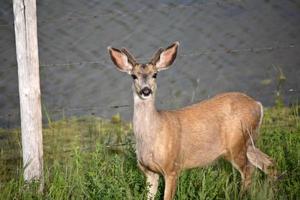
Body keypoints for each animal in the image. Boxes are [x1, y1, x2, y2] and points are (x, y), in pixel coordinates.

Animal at [108, 41, 276, 199]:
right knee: (268, 163)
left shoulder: (172, 167)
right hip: (247, 141)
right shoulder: (149, 171)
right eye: (133, 76)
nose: (146, 90)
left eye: (155, 74)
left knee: (249, 171)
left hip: (237, 143)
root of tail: (258, 105)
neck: (150, 138)